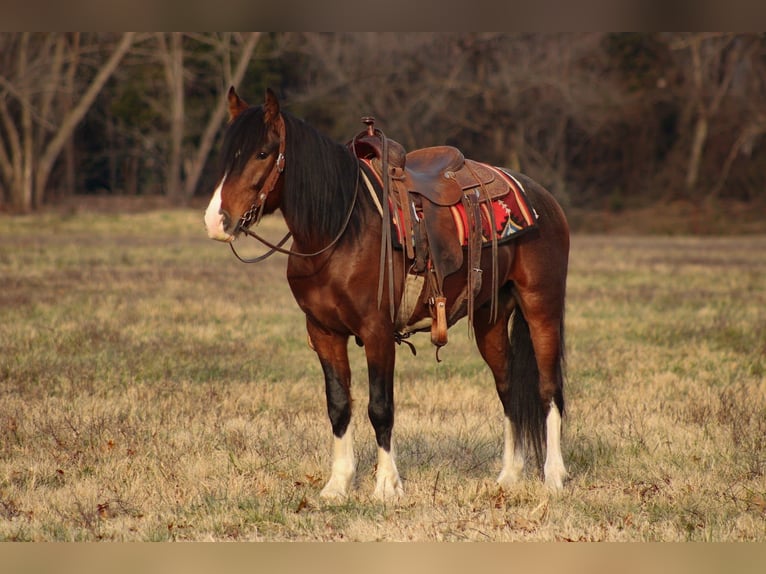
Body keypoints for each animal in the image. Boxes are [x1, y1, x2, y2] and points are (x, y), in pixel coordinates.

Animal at [204, 87, 570, 500]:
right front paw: (338, 484)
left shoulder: (377, 332)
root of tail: (542, 198)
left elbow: (380, 407)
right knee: (507, 387)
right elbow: (339, 405)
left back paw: (554, 476)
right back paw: (509, 474)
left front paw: (385, 485)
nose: (216, 221)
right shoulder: (323, 333)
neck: (339, 233)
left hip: (542, 307)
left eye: (263, 153)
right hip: (490, 318)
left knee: (548, 388)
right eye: (227, 155)